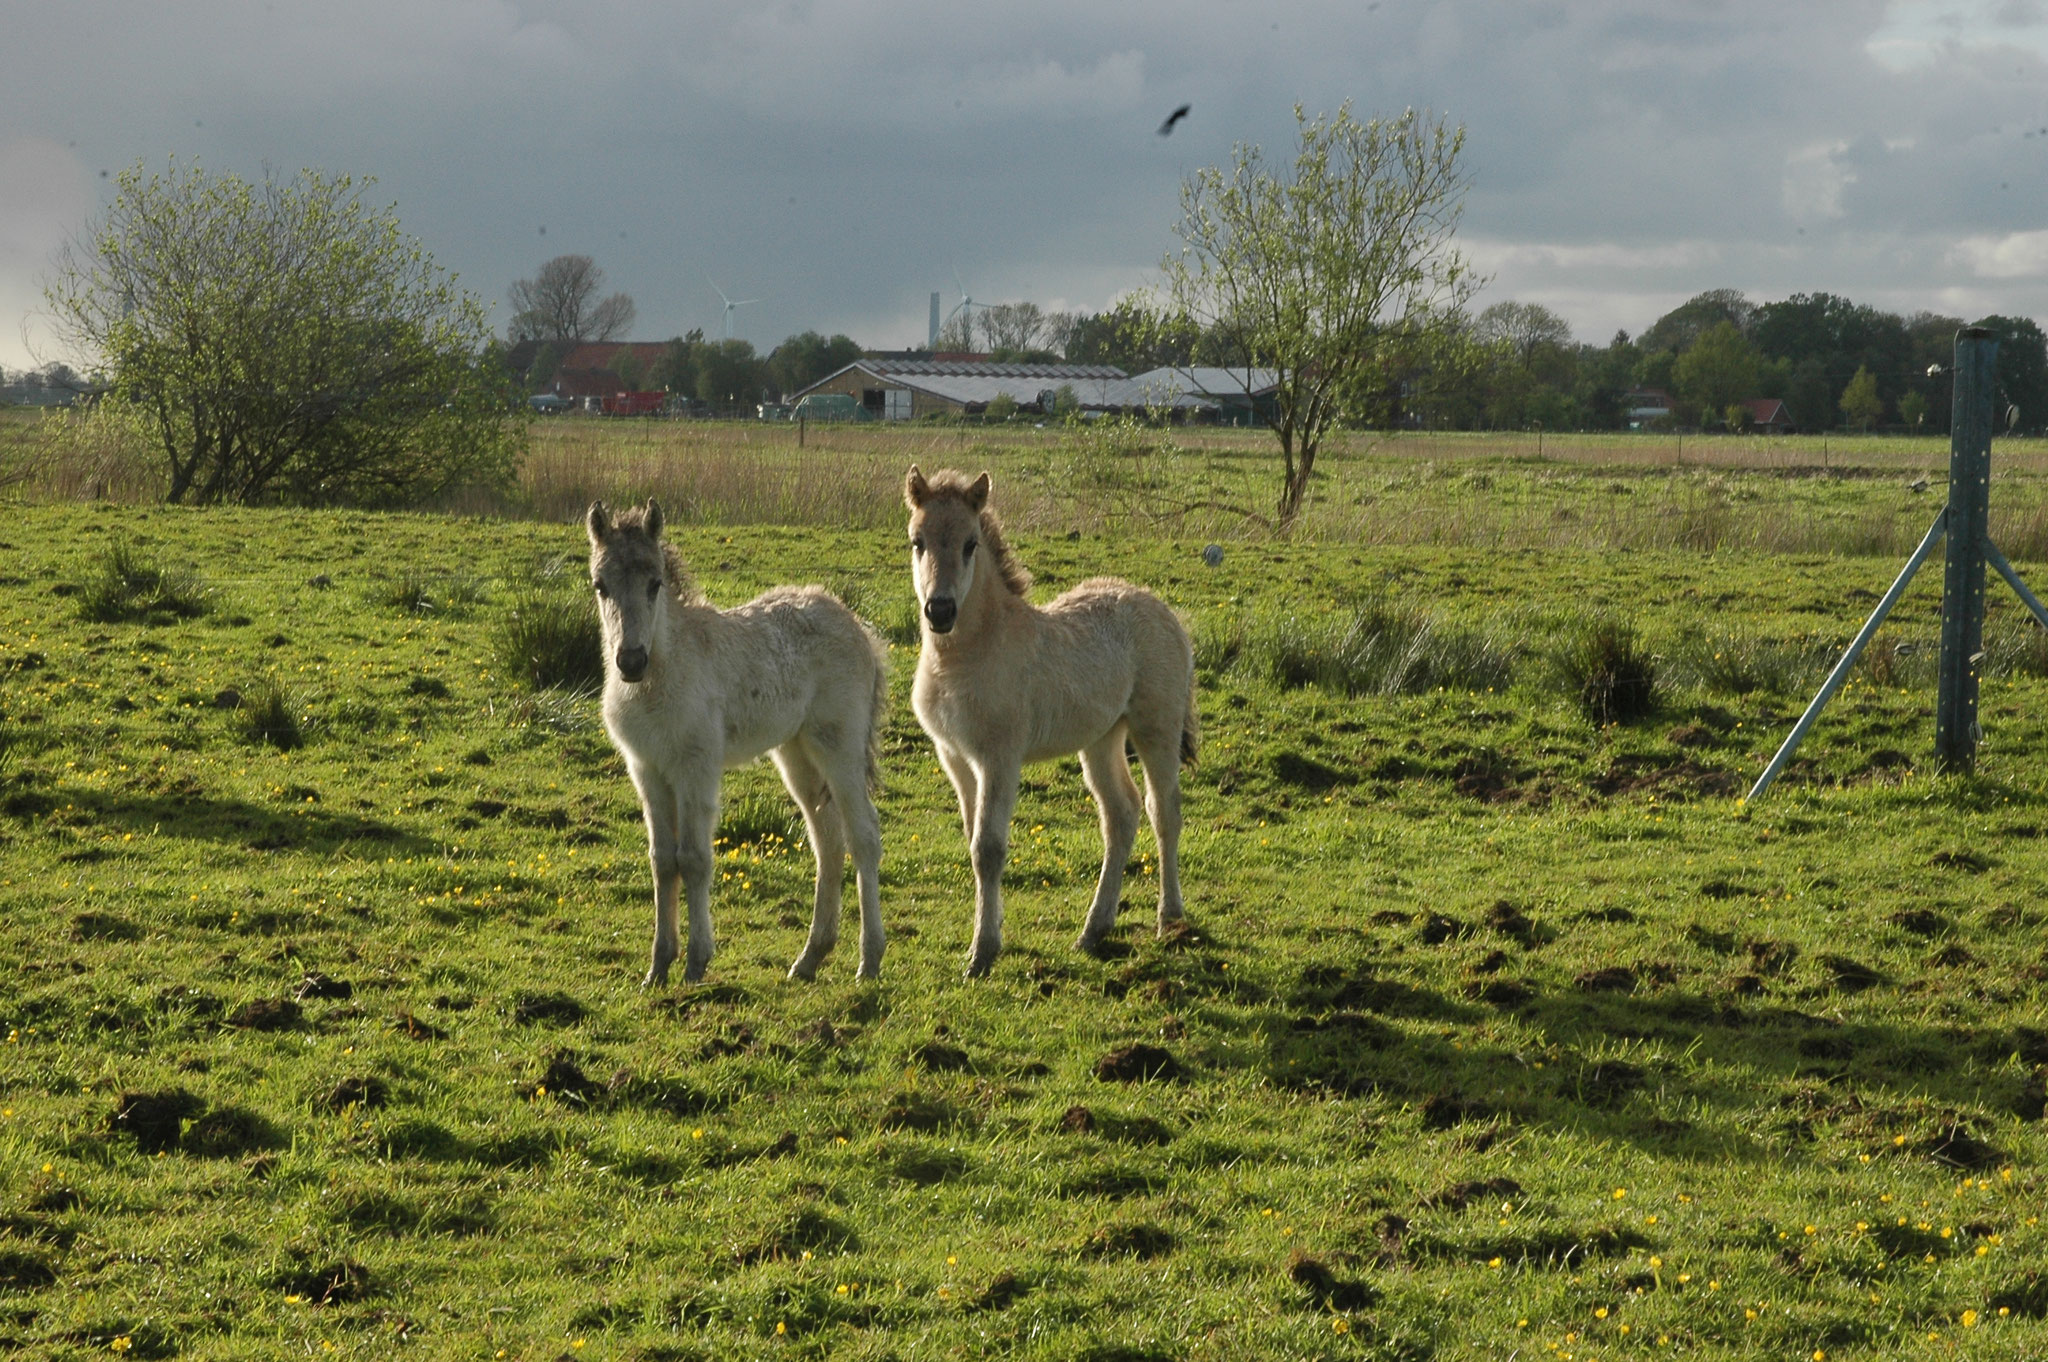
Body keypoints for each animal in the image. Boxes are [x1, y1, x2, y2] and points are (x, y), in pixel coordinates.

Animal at [585, 499, 888, 979]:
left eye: (655, 584)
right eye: (601, 586)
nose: (631, 661)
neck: (661, 679)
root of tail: (858, 625)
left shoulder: (696, 767)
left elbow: (692, 858)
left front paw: (696, 961)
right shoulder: (647, 770)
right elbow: (661, 860)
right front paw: (658, 966)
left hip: (839, 746)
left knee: (863, 837)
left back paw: (870, 959)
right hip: (797, 753)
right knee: (827, 840)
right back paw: (810, 958)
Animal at [909, 466, 1196, 979]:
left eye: (970, 544)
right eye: (917, 541)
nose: (940, 611)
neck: (966, 656)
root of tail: (1166, 611)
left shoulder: (999, 757)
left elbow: (988, 848)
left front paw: (983, 952)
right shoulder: (955, 756)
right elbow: (973, 840)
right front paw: (986, 938)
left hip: (1156, 727)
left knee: (1164, 812)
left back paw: (1170, 919)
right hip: (1101, 737)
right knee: (1121, 814)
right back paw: (1094, 929)